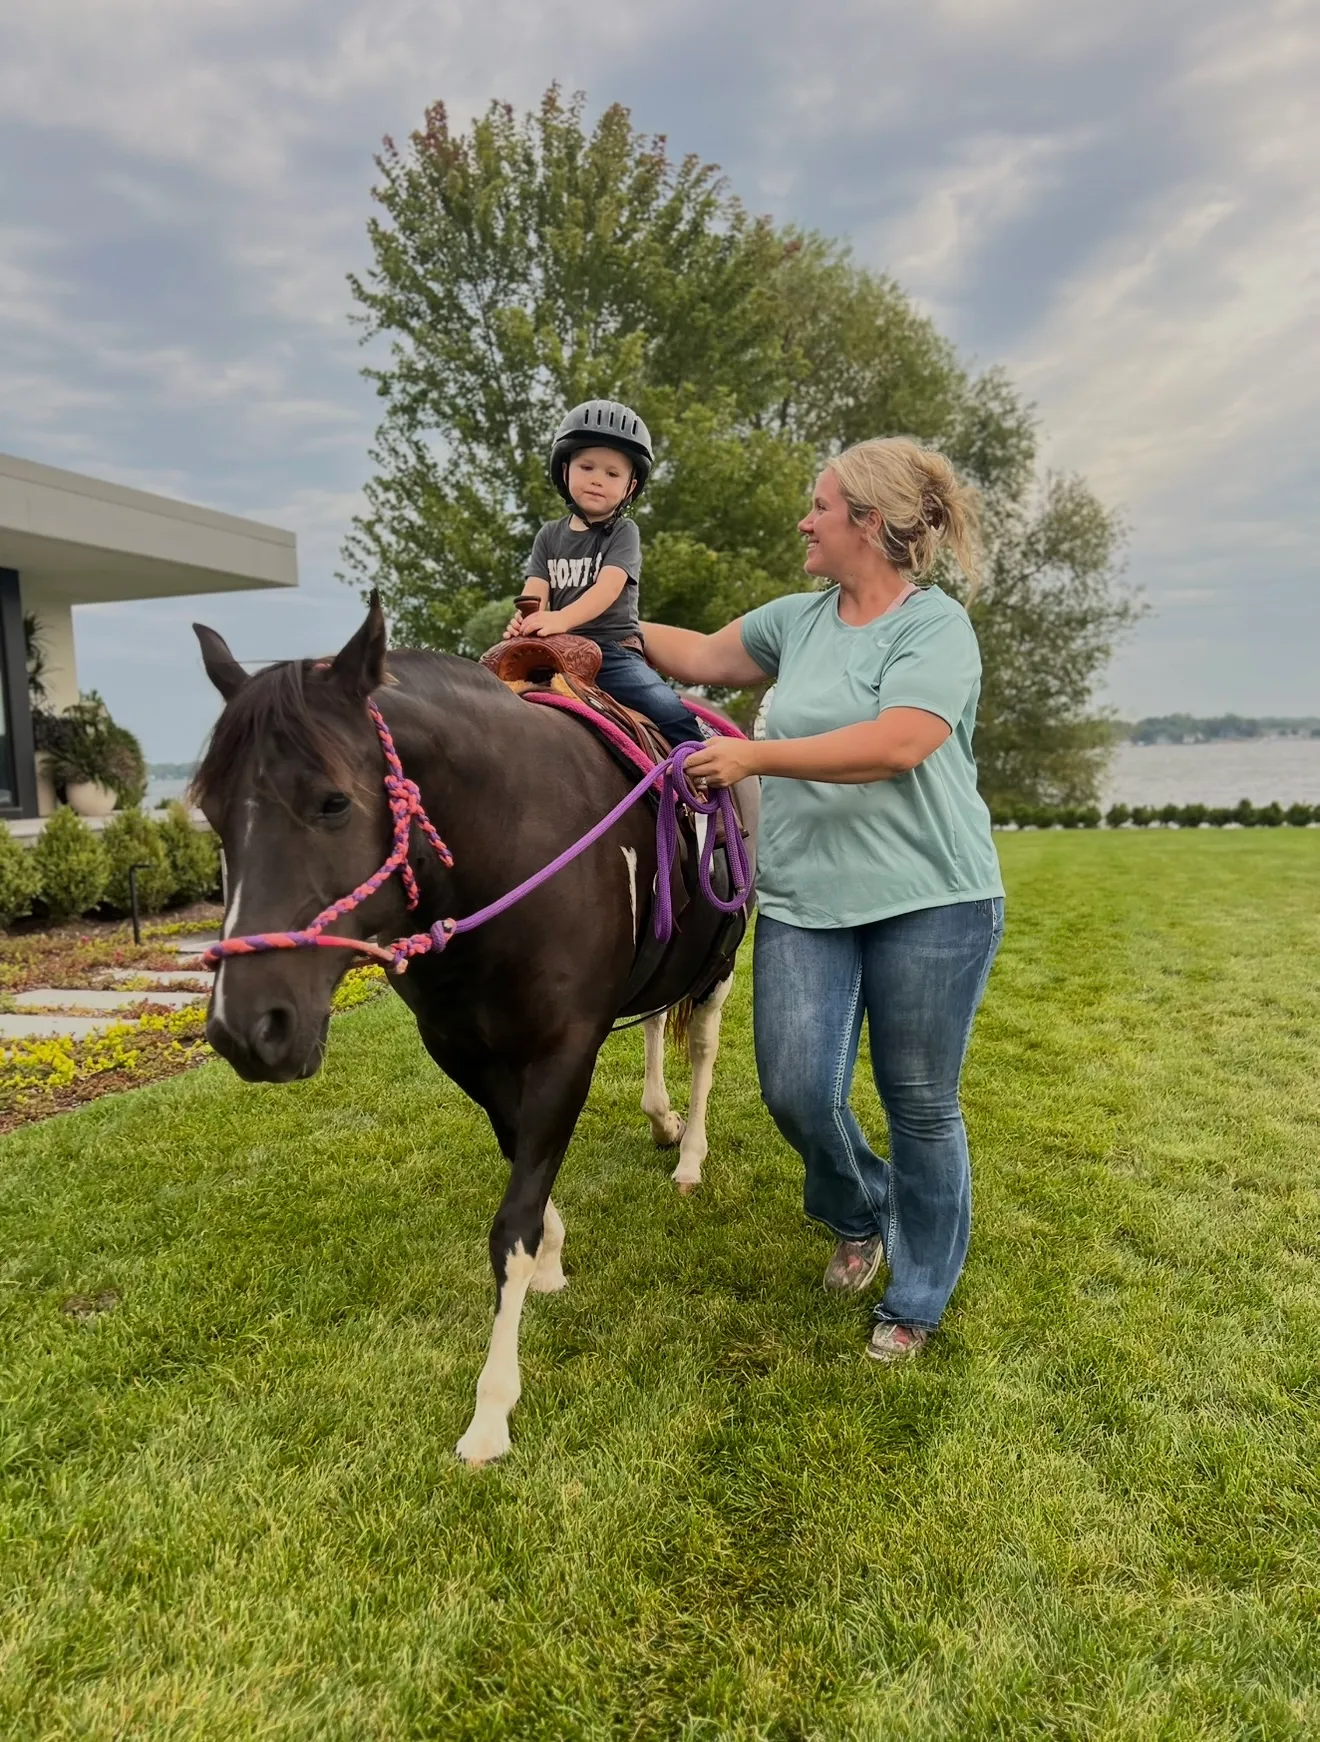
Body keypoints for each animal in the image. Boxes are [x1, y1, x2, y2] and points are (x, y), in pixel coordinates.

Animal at [190, 596, 758, 1465]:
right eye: (212, 815)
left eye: (333, 802)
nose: (244, 1027)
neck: (506, 849)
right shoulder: (464, 1052)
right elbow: (522, 1165)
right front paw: (554, 1257)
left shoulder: (565, 1051)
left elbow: (511, 1222)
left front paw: (492, 1409)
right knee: (659, 1022)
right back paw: (660, 1120)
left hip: (720, 961)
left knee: (700, 1046)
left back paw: (689, 1152)